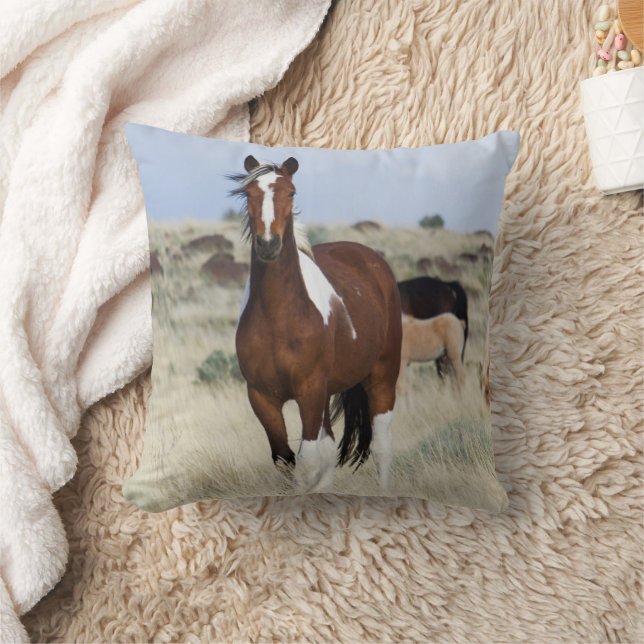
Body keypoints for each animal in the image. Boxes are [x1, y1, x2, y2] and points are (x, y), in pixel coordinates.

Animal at [232, 155, 402, 493]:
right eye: (248, 194)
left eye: (291, 192)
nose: (268, 245)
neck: (279, 316)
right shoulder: (262, 396)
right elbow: (286, 459)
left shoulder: (309, 390)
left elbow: (308, 463)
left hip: (382, 377)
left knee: (381, 447)